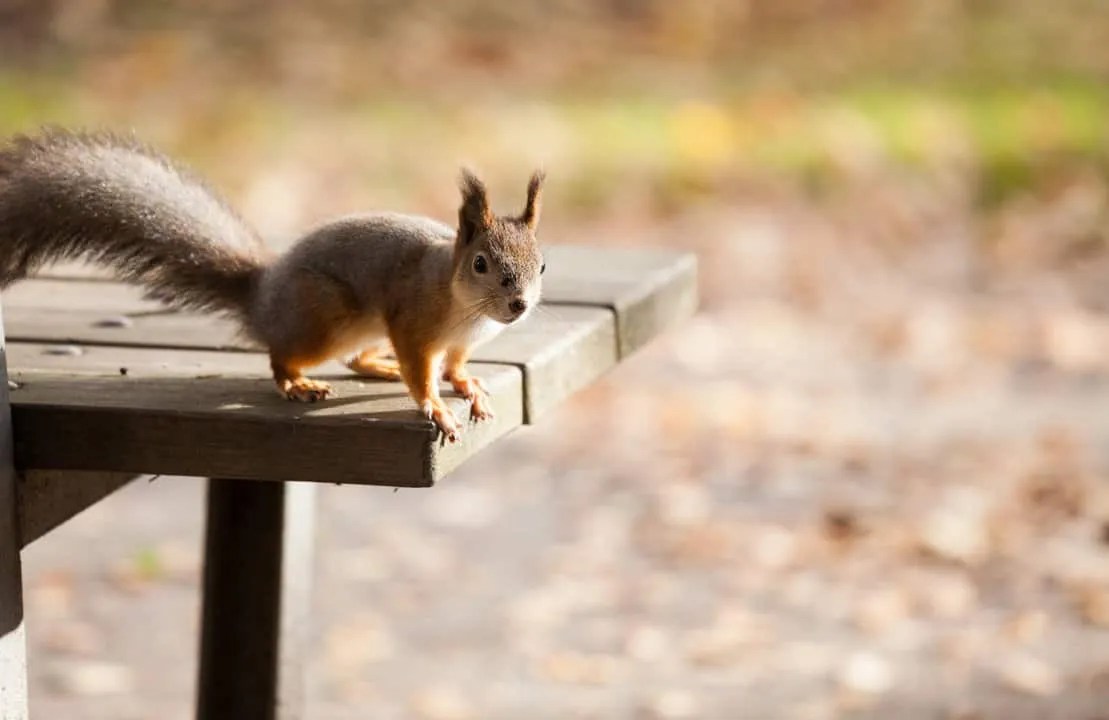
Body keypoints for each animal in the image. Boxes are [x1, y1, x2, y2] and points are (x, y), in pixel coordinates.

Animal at [0, 128, 546, 441]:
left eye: (541, 267)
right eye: (480, 264)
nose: (518, 304)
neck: (465, 310)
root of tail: (261, 297)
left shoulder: (459, 344)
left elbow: (454, 367)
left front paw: (469, 388)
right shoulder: (412, 322)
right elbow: (422, 370)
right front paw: (436, 406)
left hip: (357, 327)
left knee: (355, 358)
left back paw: (379, 367)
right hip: (323, 317)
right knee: (281, 356)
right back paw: (297, 382)